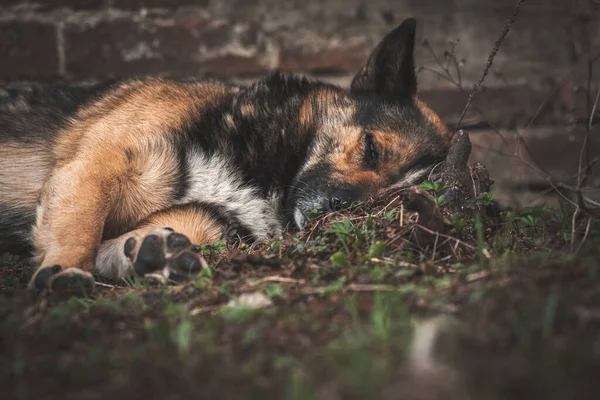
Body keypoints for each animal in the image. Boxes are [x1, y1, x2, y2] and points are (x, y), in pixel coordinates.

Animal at [0, 18, 450, 292]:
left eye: (389, 202)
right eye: (371, 149)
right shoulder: (96, 165)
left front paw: (155, 254)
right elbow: (82, 223)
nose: (341, 210)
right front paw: (66, 268)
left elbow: (142, 236)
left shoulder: (210, 218)